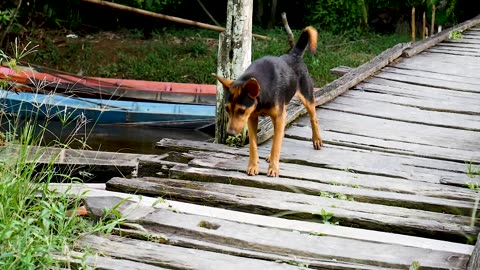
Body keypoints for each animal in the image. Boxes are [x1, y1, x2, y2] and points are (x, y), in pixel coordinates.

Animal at [214, 25, 322, 177]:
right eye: (227, 109)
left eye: (241, 110)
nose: (230, 133)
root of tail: (293, 55)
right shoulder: (252, 118)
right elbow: (253, 145)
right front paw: (253, 166)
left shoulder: (278, 116)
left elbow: (276, 144)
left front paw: (273, 168)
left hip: (306, 97)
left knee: (313, 118)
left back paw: (317, 139)